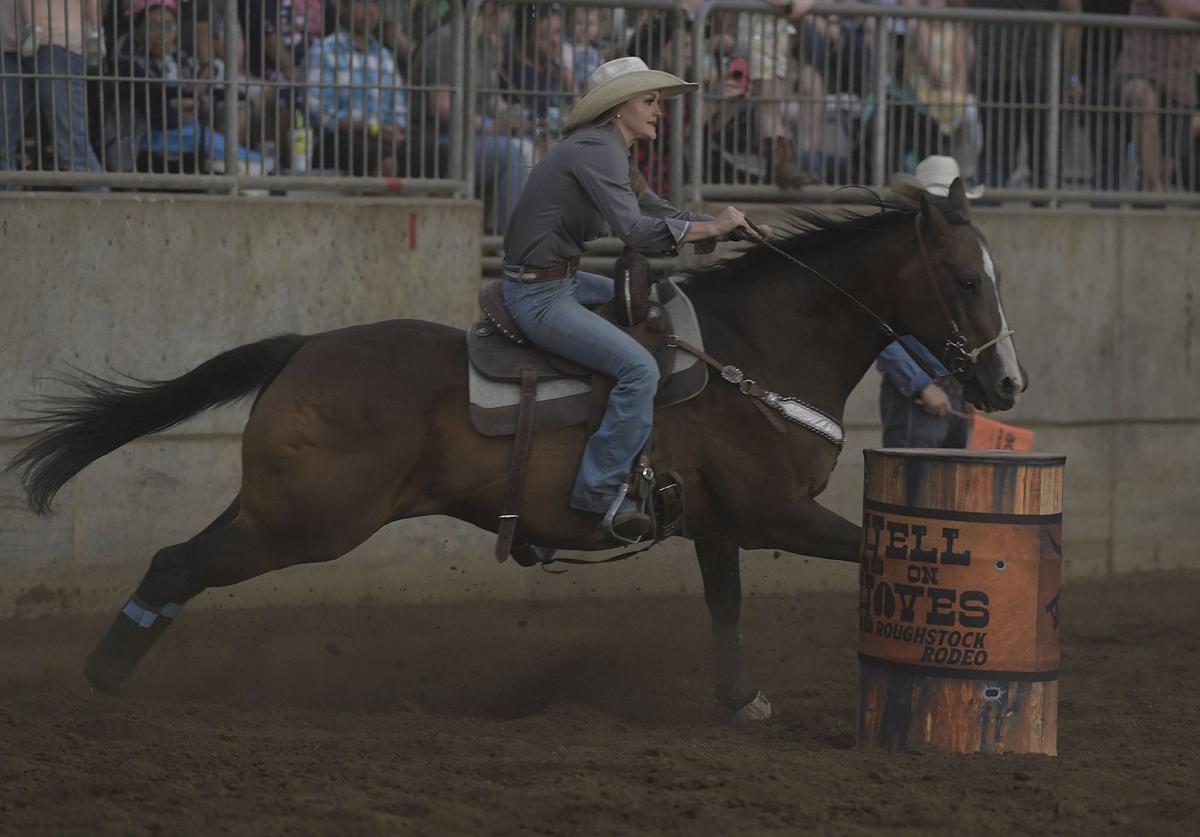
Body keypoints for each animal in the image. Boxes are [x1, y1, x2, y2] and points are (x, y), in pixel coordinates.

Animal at [9, 182, 1022, 719]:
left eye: (995, 273)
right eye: (966, 278)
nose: (1007, 384)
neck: (754, 353)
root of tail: (301, 346)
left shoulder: (719, 524)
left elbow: (726, 608)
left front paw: (739, 700)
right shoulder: (776, 513)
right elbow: (866, 550)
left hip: (274, 507)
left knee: (182, 558)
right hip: (306, 524)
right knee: (177, 563)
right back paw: (101, 680)